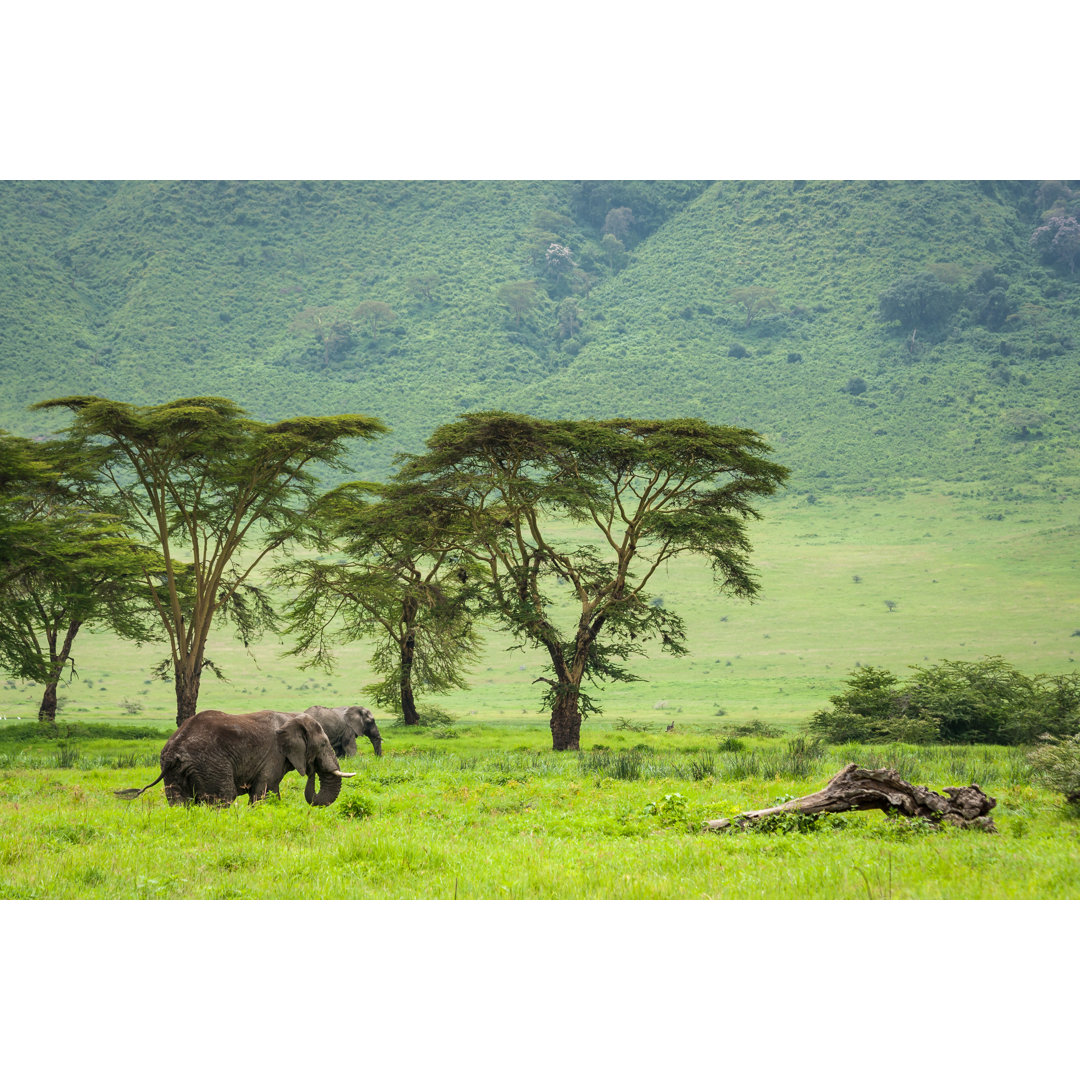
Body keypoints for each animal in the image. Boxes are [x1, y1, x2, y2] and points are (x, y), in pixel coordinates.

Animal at [112, 712, 354, 807]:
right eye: (323, 744)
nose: (312, 768)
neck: (291, 716)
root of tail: (175, 749)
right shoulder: (273, 755)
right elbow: (265, 792)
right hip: (210, 765)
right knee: (223, 799)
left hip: (172, 769)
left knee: (180, 803)